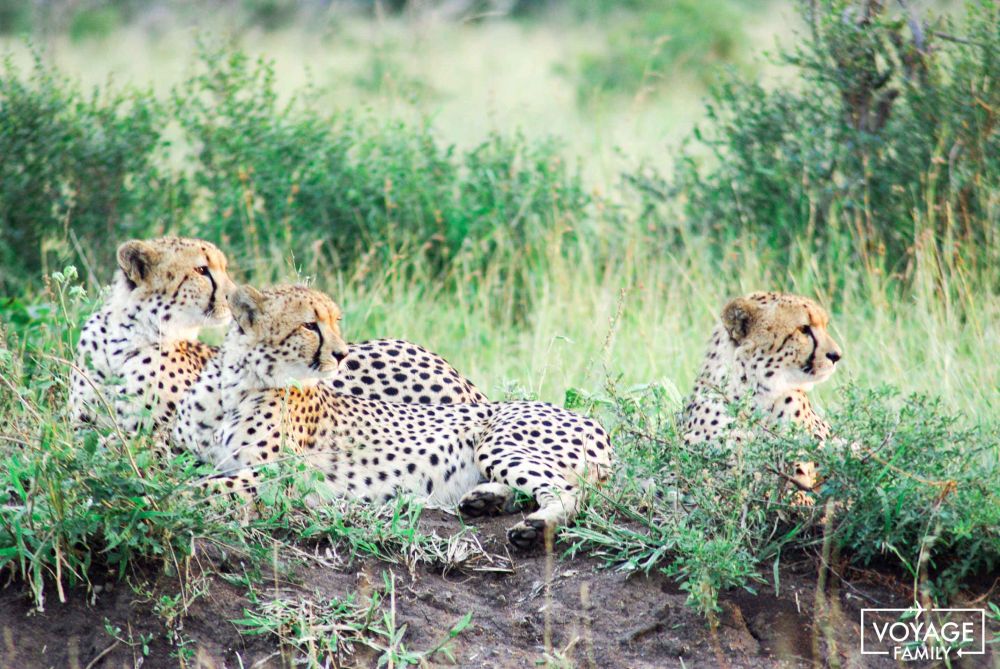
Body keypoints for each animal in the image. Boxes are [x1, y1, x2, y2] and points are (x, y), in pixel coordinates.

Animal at [199, 284, 612, 548]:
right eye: (309, 324)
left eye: (334, 321)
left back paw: (537, 526)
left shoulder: (278, 475)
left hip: (496, 443)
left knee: (569, 492)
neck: (242, 385)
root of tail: (595, 424)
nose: (341, 354)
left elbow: (205, 487)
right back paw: (484, 499)